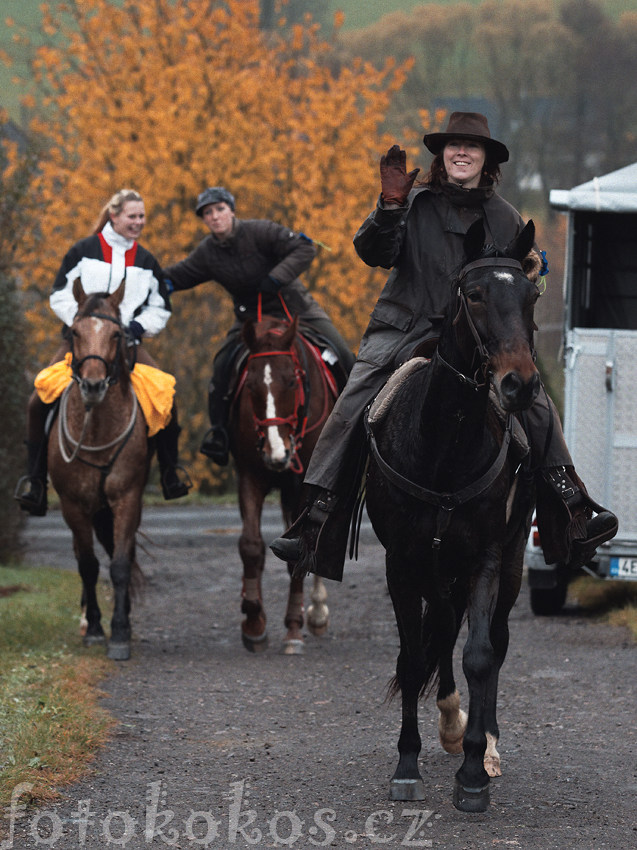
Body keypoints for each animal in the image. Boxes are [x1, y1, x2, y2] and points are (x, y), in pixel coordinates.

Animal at [47, 278, 149, 656]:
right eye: (74, 332)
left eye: (117, 334)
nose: (92, 385)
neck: (96, 427)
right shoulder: (73, 504)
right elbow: (89, 565)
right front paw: (93, 627)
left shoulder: (127, 498)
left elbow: (119, 564)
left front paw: (120, 632)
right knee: (83, 556)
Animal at [230, 314, 338, 652]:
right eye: (251, 384)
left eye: (291, 381)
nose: (277, 453)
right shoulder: (250, 477)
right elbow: (251, 546)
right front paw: (254, 621)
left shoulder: (302, 483)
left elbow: (299, 552)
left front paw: (293, 627)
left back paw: (317, 612)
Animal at [366, 219, 540, 808]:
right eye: (476, 293)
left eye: (531, 295)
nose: (520, 384)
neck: (443, 446)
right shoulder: (401, 562)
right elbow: (413, 655)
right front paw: (407, 764)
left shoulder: (486, 558)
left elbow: (480, 655)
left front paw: (472, 772)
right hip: (436, 571)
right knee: (439, 633)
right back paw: (448, 723)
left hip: (507, 564)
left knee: (492, 642)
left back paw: (483, 744)